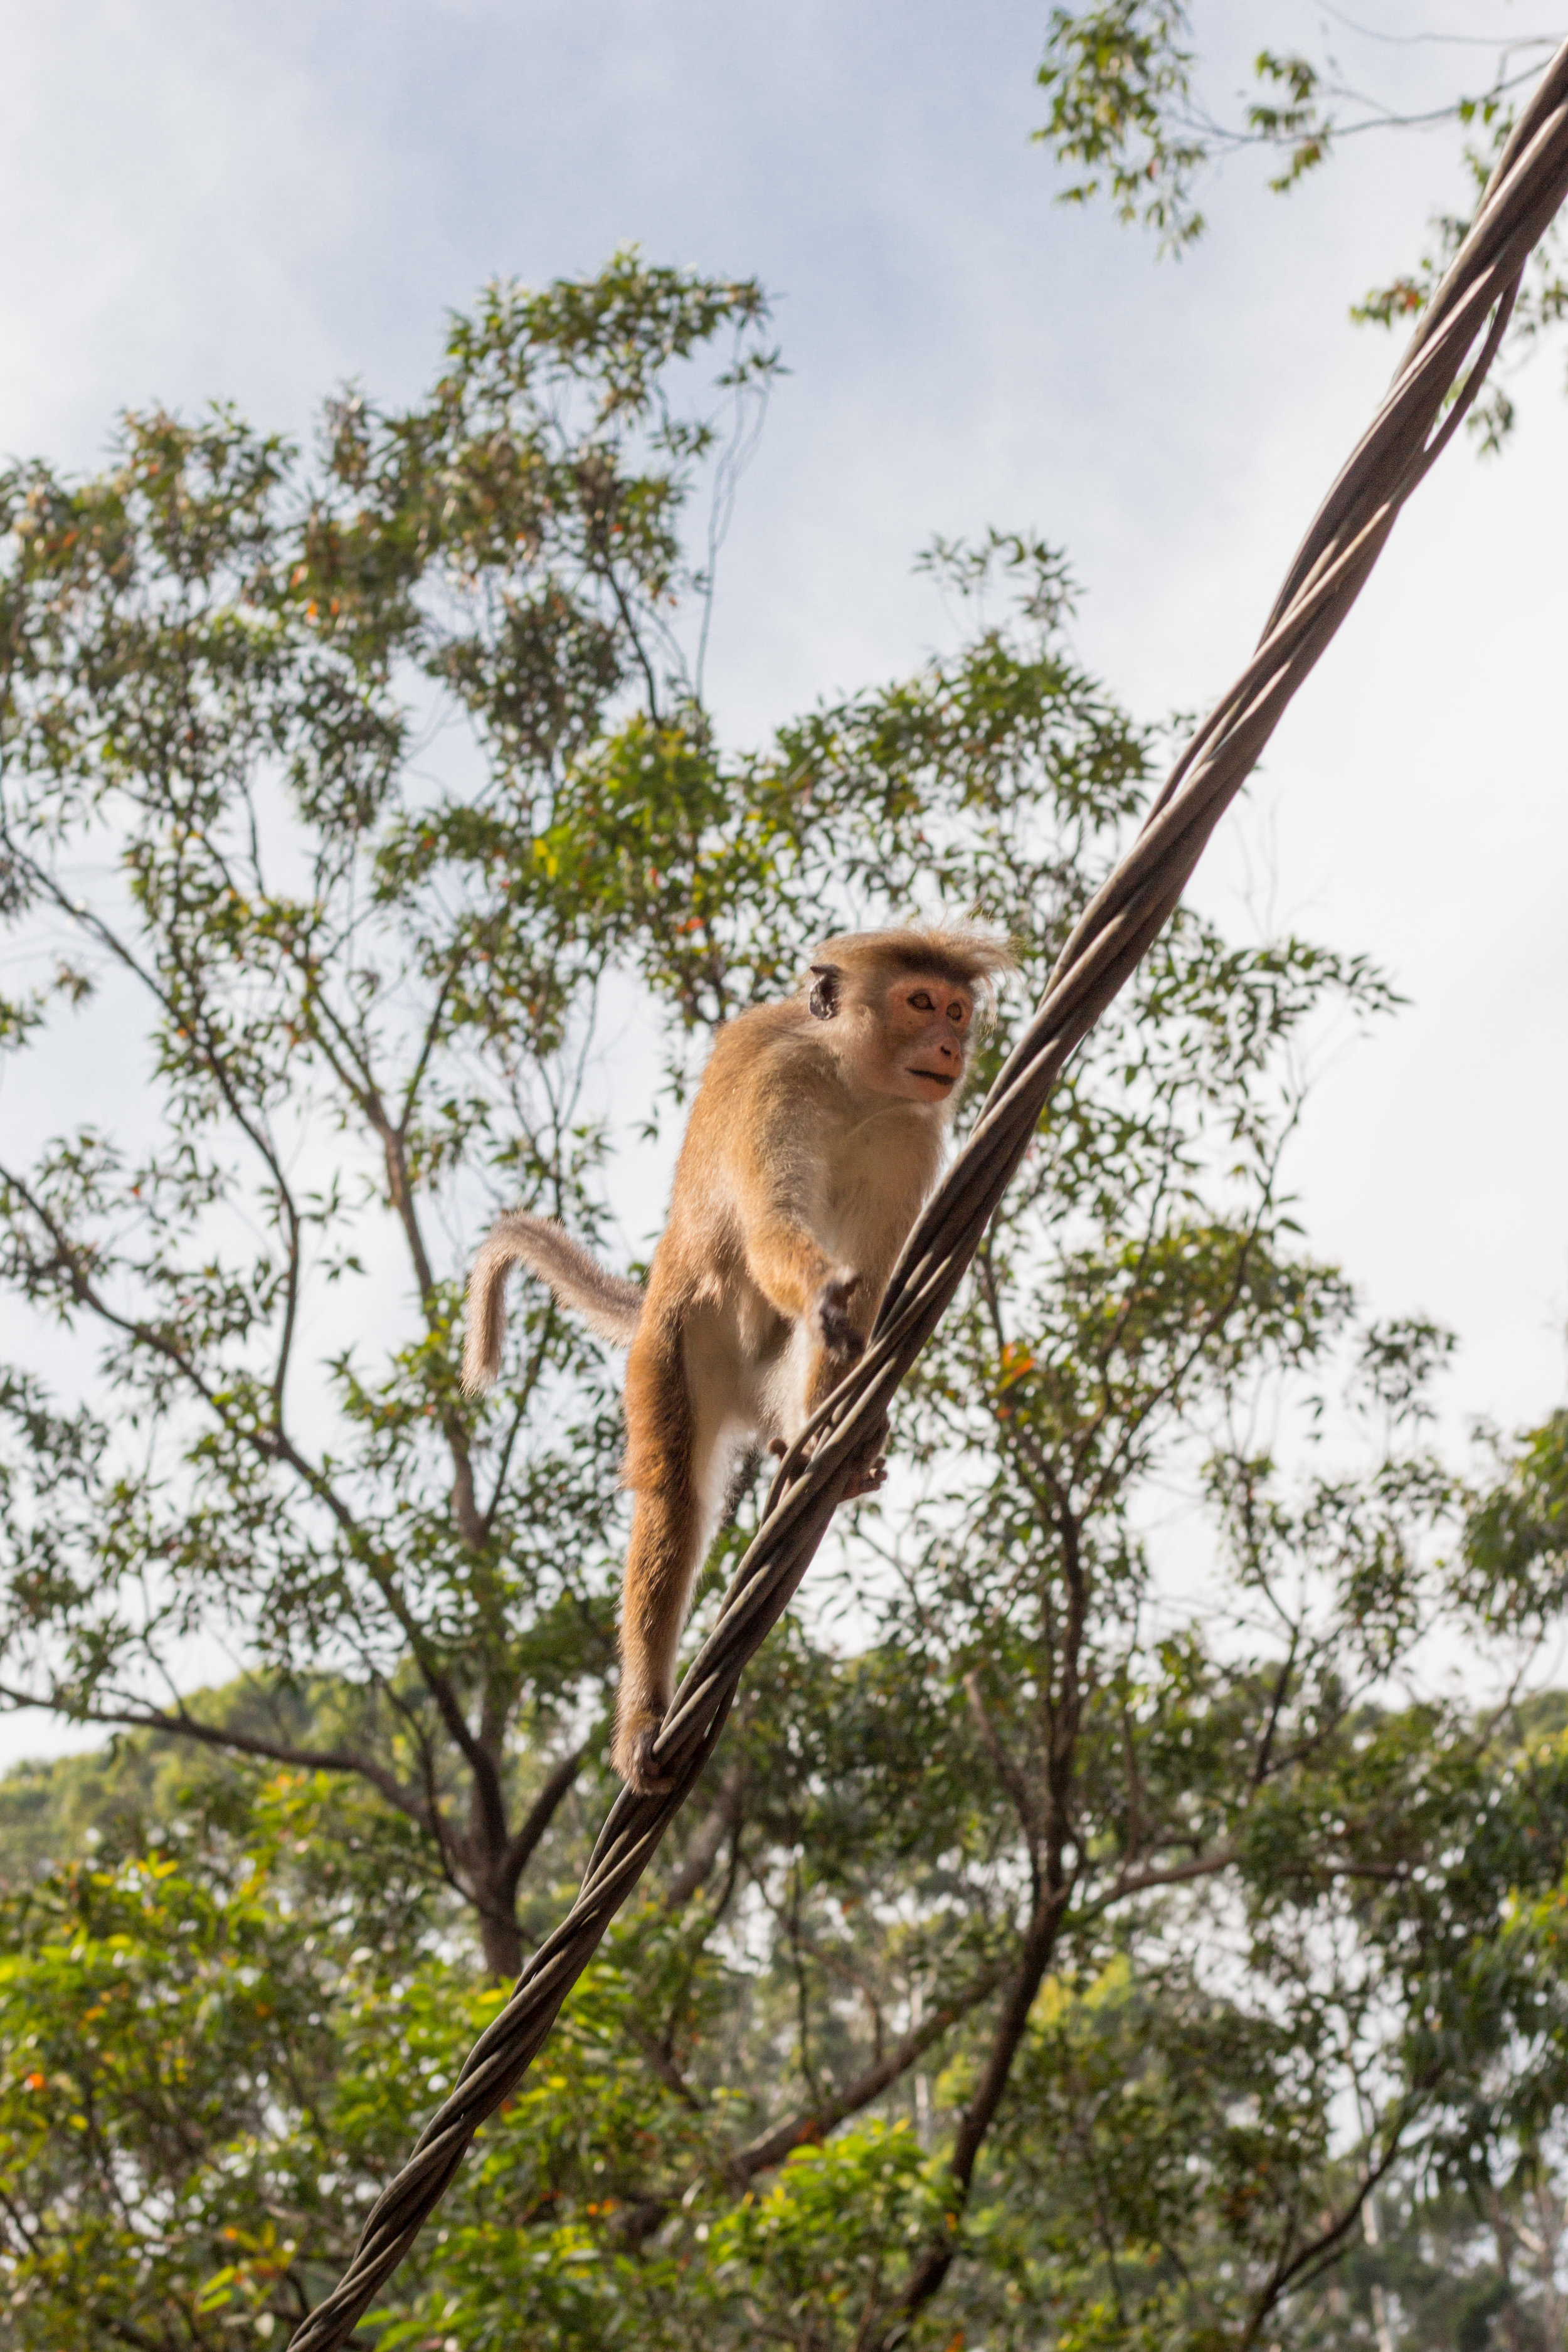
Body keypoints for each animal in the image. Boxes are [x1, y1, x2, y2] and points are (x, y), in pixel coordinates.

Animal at [463, 926, 1020, 1788]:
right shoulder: (778, 1087)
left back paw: (819, 1450)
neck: (855, 1087)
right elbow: (771, 1227)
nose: (951, 1044)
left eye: (957, 1010)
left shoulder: (910, 1134)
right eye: (921, 1001)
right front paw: (823, 1288)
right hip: (674, 1352)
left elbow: (862, 1300)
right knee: (674, 1502)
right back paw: (644, 1716)